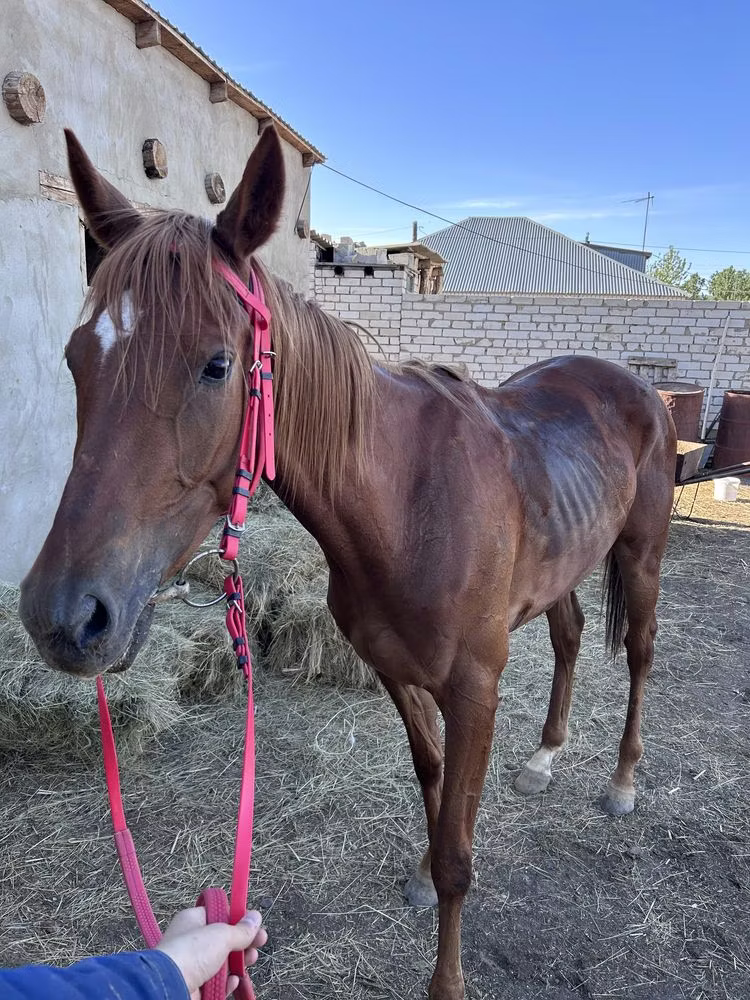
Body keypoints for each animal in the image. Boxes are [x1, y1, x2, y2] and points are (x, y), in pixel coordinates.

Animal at [19, 126, 676, 1000]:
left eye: (217, 364)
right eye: (74, 359)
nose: (65, 617)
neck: (404, 502)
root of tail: (636, 384)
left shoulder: (475, 689)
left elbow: (462, 852)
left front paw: (447, 974)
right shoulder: (398, 673)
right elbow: (434, 782)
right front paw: (422, 870)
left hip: (641, 556)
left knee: (637, 655)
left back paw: (622, 782)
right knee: (569, 639)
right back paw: (544, 757)